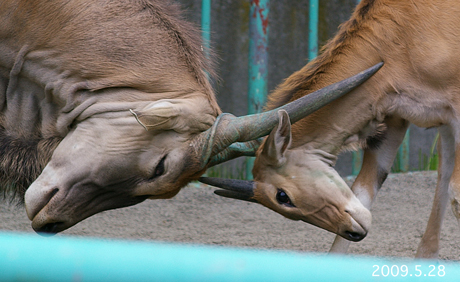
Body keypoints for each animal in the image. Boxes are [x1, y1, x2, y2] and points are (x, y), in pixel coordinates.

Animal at [200, 0, 460, 258]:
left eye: (282, 196)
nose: (354, 232)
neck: (401, 37)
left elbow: (455, 192)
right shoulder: (400, 121)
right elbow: (365, 190)